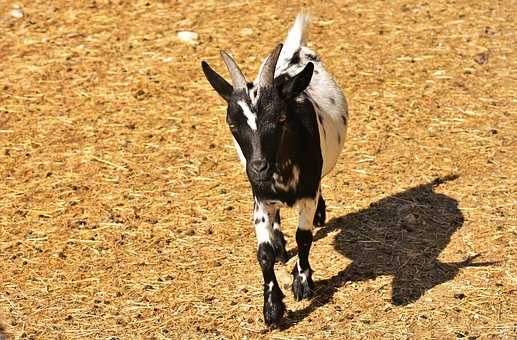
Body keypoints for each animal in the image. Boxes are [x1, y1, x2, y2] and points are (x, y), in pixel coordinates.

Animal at [201, 12, 346, 326]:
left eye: (280, 118)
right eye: (232, 123)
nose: (258, 166)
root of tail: (294, 54)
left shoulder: (307, 192)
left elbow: (304, 237)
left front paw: (302, 283)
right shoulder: (261, 198)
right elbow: (264, 252)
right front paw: (272, 307)